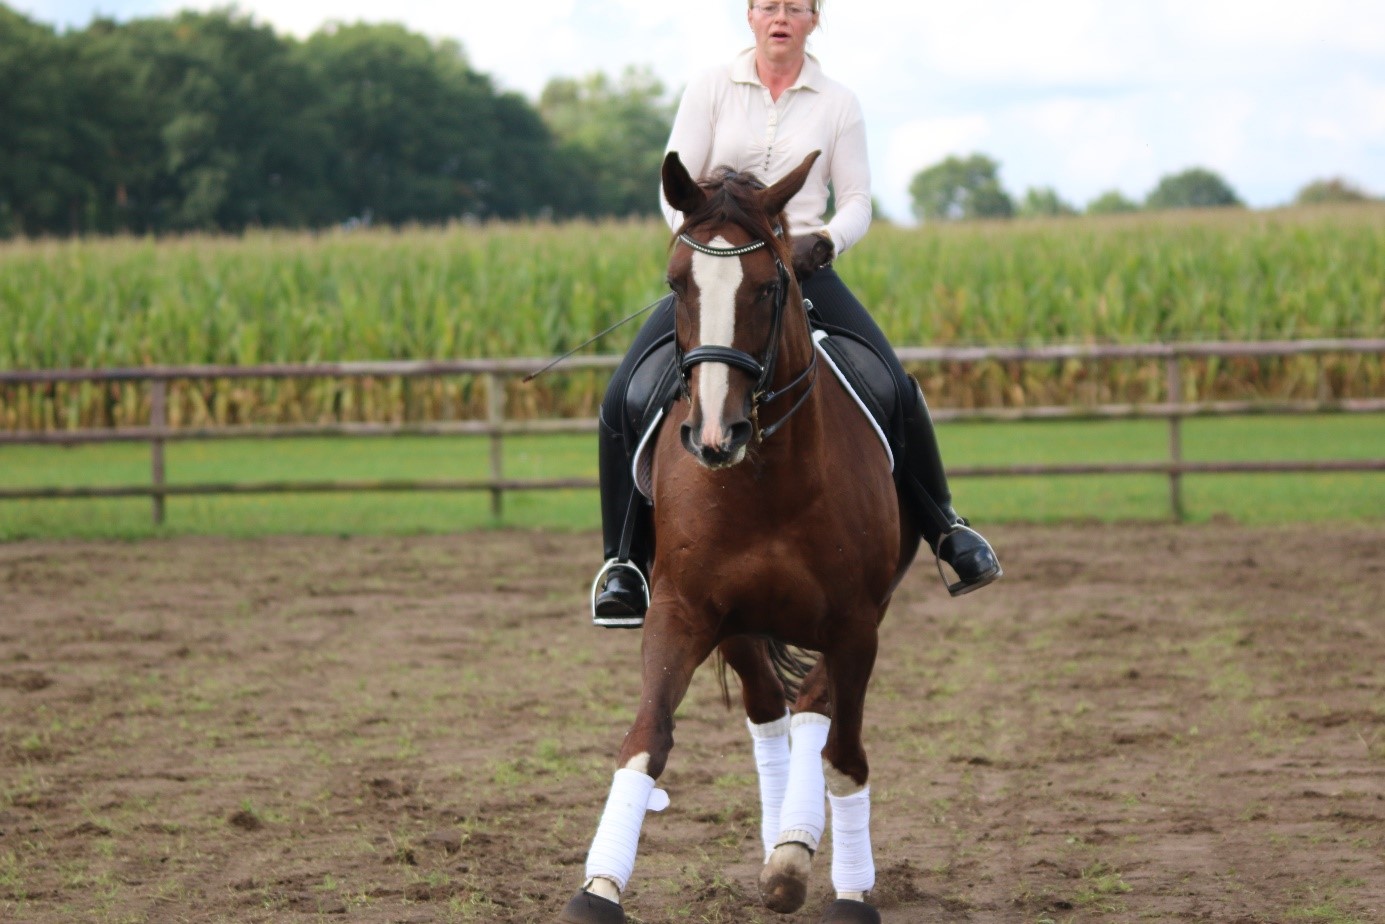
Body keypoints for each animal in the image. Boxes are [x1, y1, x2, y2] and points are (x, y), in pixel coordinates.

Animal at [551, 151, 919, 924]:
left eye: (769, 285)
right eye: (674, 282)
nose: (715, 435)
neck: (765, 477)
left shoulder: (856, 623)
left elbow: (844, 755)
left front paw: (849, 893)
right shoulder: (683, 610)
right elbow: (645, 740)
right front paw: (597, 891)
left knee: (811, 710)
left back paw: (795, 848)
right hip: (741, 624)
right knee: (771, 712)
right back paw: (781, 845)